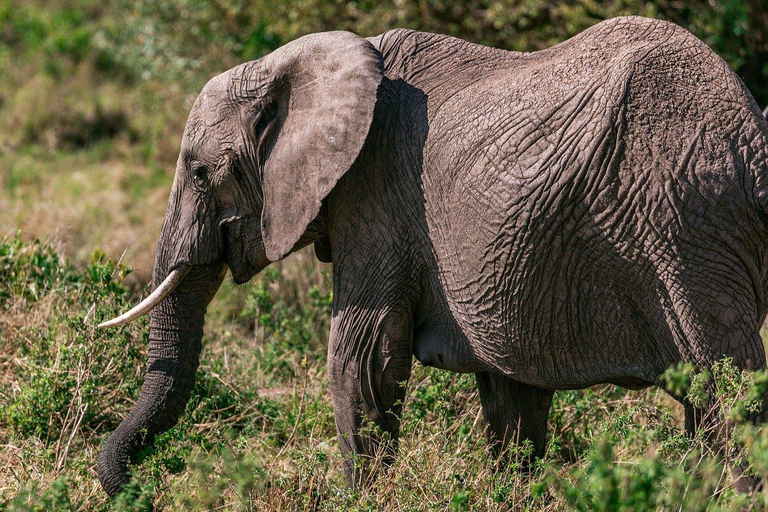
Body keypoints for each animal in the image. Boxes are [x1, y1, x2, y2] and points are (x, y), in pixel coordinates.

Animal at [96, 16, 768, 496]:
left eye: (198, 170)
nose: (140, 490)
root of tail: (753, 137)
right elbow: (512, 396)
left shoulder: (376, 197)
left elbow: (361, 355)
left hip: (687, 224)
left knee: (729, 390)